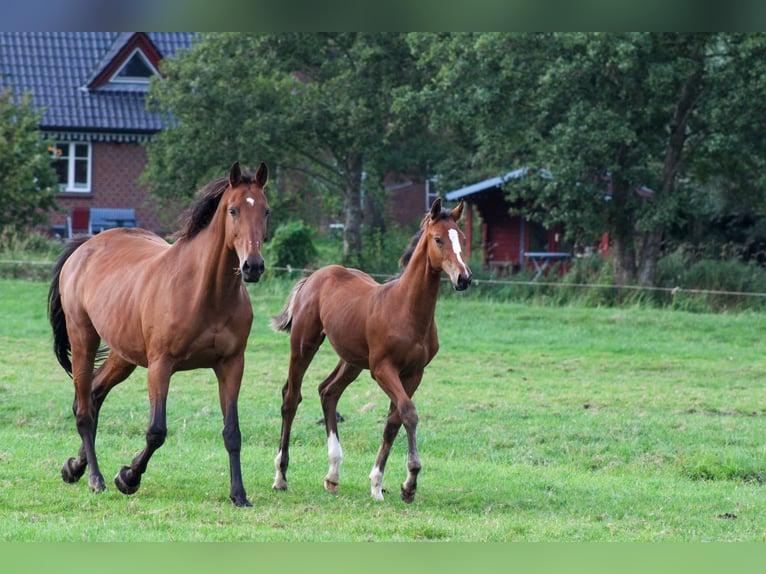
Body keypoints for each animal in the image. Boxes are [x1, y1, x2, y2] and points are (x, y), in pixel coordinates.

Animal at [47, 162, 270, 507]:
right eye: (233, 210)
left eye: (266, 211)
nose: (253, 267)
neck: (206, 293)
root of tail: (84, 247)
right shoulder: (161, 365)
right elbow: (156, 431)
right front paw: (127, 477)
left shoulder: (232, 365)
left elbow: (232, 432)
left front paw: (239, 494)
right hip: (83, 338)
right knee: (84, 409)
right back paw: (95, 478)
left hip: (123, 356)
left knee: (95, 394)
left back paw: (74, 467)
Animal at [270, 198, 472, 503]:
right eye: (438, 239)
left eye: (461, 237)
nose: (464, 278)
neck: (406, 309)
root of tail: (315, 276)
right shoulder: (382, 369)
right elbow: (409, 412)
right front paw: (410, 481)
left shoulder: (414, 373)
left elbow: (393, 421)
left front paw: (380, 484)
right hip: (304, 345)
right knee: (291, 397)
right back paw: (281, 476)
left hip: (351, 360)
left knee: (328, 391)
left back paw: (333, 475)